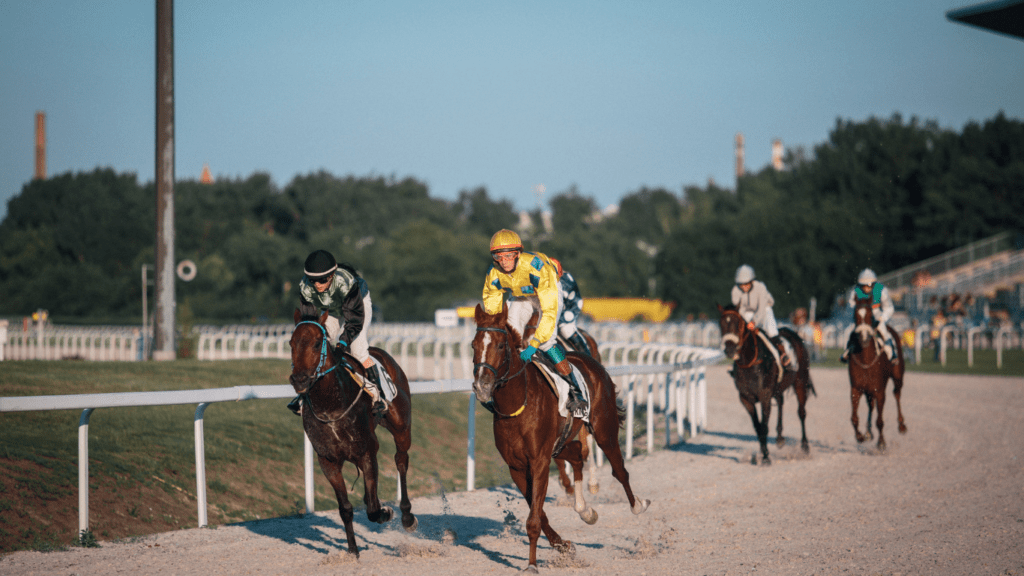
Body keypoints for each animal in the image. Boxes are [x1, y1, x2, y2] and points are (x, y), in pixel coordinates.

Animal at [288, 309, 415, 557]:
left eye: (316, 344)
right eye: (291, 343)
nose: (299, 380)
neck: (330, 404)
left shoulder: (367, 452)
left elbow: (374, 510)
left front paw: (386, 512)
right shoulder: (328, 460)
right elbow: (345, 508)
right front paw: (353, 551)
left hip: (401, 426)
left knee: (401, 461)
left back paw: (406, 515)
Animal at [471, 301, 647, 569]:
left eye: (500, 345)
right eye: (474, 345)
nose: (481, 385)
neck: (517, 403)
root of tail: (591, 362)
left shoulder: (539, 461)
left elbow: (534, 518)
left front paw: (532, 565)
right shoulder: (517, 466)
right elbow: (538, 513)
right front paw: (562, 545)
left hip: (604, 429)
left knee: (618, 469)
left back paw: (637, 504)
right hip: (560, 443)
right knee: (576, 454)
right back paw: (585, 511)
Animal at [716, 303, 819, 463]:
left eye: (738, 324)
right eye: (721, 324)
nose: (729, 349)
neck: (750, 362)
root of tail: (794, 334)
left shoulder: (765, 396)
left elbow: (764, 426)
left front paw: (765, 457)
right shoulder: (745, 398)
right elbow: (758, 427)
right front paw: (763, 452)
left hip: (800, 382)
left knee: (801, 412)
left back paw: (805, 446)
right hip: (778, 388)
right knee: (781, 402)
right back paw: (780, 438)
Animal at [843, 295, 909, 448]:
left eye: (870, 315)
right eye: (855, 316)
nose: (864, 337)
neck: (866, 359)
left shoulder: (879, 391)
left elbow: (880, 420)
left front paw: (881, 443)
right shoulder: (856, 388)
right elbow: (854, 418)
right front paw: (860, 436)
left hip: (897, 377)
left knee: (897, 394)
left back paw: (901, 425)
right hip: (869, 390)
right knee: (871, 405)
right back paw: (868, 432)